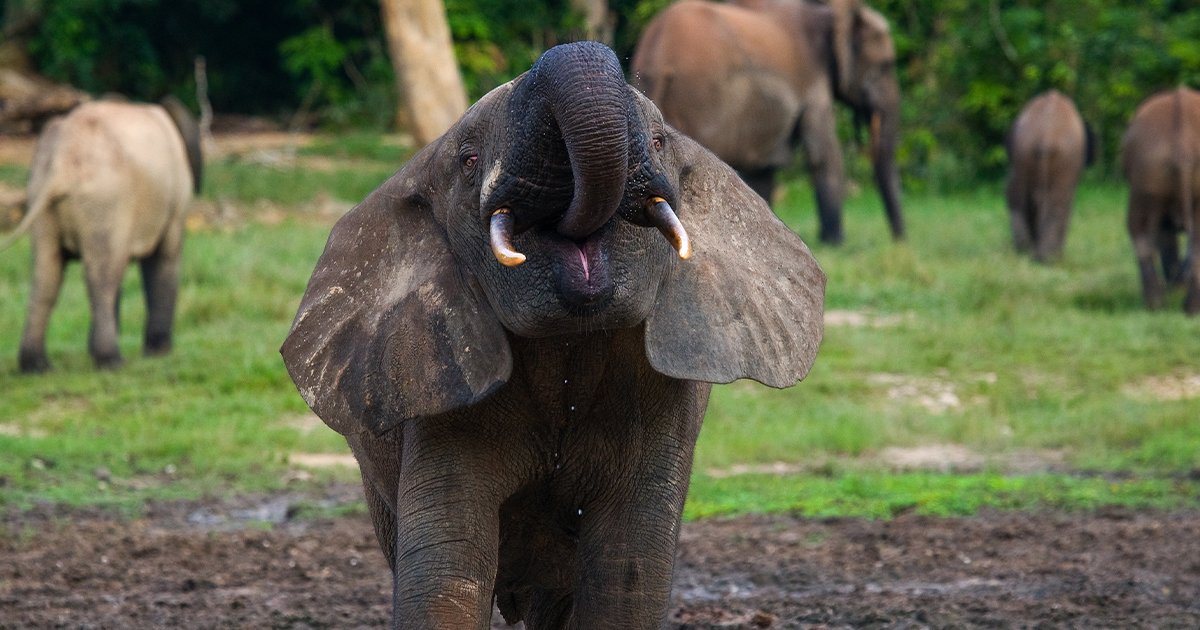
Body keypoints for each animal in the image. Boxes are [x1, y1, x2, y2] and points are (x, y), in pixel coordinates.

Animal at [0, 97, 201, 372]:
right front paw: (160, 353)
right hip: (105, 198)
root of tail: (64, 160)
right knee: (102, 276)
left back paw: (37, 368)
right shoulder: (175, 202)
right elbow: (165, 258)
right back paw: (112, 361)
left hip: (40, 193)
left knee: (47, 274)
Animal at [633, 0, 902, 243]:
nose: (899, 240)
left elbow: (763, 170)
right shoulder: (814, 87)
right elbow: (824, 156)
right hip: (698, 96)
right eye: (885, 65)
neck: (827, 15)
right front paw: (835, 243)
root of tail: (657, 55)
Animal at [1003, 89, 1099, 261]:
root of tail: (1046, 134)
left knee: (1018, 197)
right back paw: (1049, 257)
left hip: (1023, 151)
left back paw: (1028, 251)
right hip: (1064, 158)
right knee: (1057, 201)